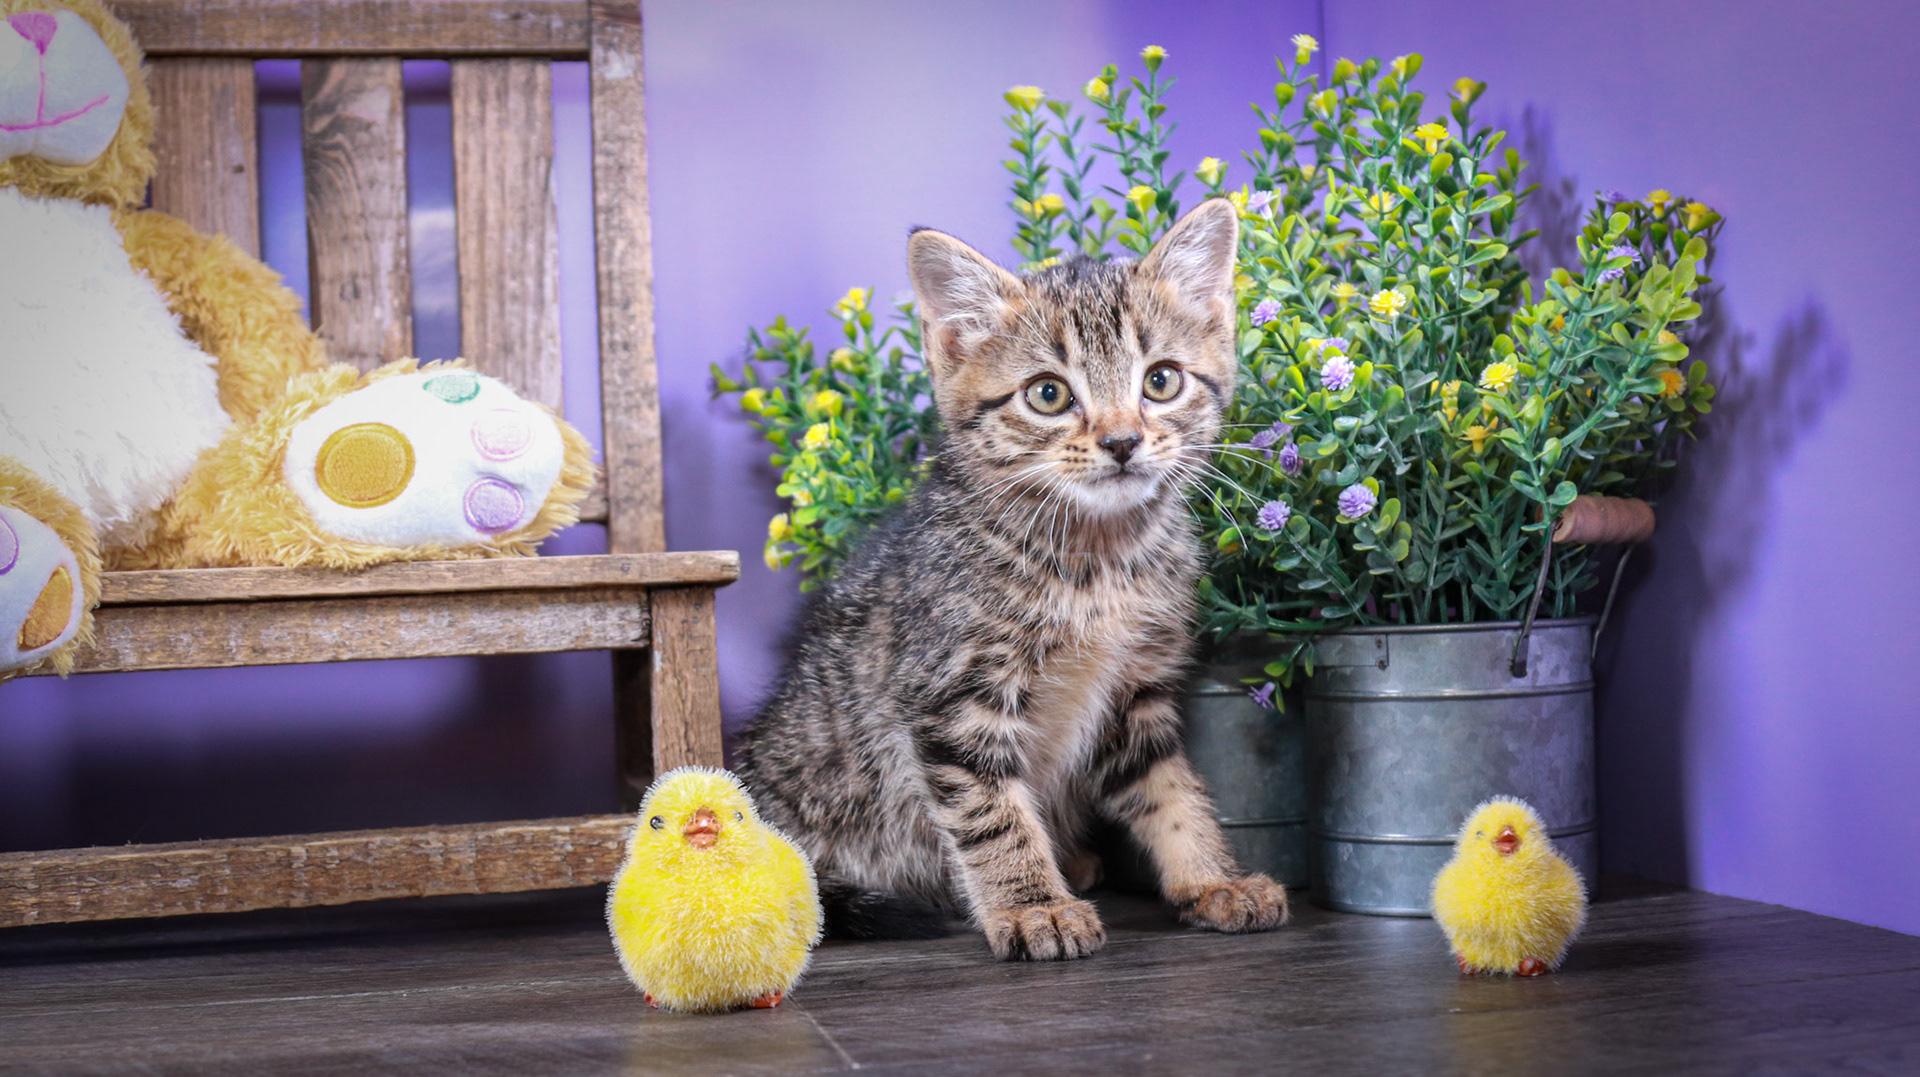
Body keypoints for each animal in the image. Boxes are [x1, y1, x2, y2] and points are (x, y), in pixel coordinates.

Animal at [734, 200, 1288, 961]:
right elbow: (991, 812)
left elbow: (1170, 789)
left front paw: (1212, 878)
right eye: (1048, 394)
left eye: (1161, 380)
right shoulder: (951, 697)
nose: (1122, 441)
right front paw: (1032, 906)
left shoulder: (1137, 692)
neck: (1097, 561)